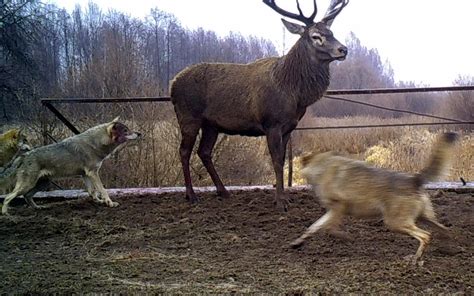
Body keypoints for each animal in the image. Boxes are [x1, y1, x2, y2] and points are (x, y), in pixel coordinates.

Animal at [292, 133, 460, 264]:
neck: (322, 166)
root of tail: (414, 179)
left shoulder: (338, 207)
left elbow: (329, 228)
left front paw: (345, 237)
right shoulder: (331, 211)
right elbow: (312, 227)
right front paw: (297, 243)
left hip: (396, 223)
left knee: (426, 236)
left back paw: (415, 259)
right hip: (422, 218)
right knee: (444, 230)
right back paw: (446, 250)